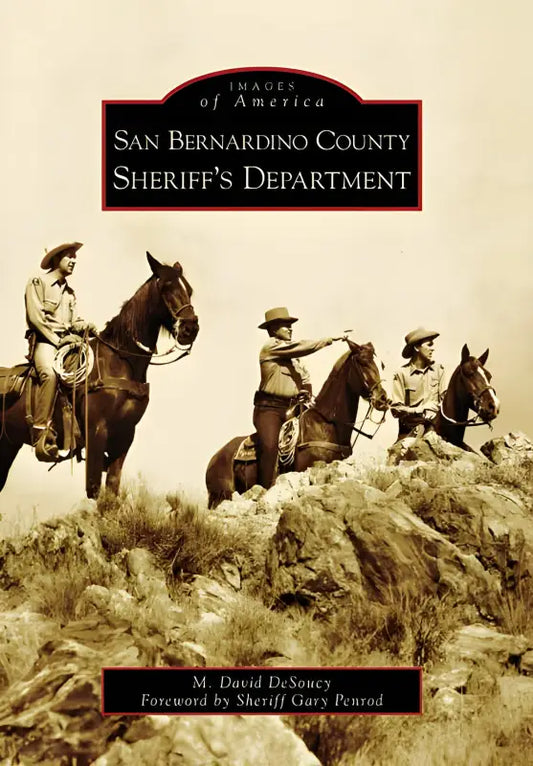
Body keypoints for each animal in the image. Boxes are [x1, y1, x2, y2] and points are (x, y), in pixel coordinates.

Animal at [0, 255, 198, 500]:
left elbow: (112, 489)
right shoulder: (97, 432)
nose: (191, 328)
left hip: (8, 445)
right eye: (166, 287)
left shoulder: (125, 435)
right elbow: (94, 489)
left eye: (189, 290)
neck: (120, 361)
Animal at [206, 342, 388, 510]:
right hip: (222, 496)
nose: (383, 399)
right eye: (362, 361)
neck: (325, 424)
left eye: (378, 364)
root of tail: (214, 458)